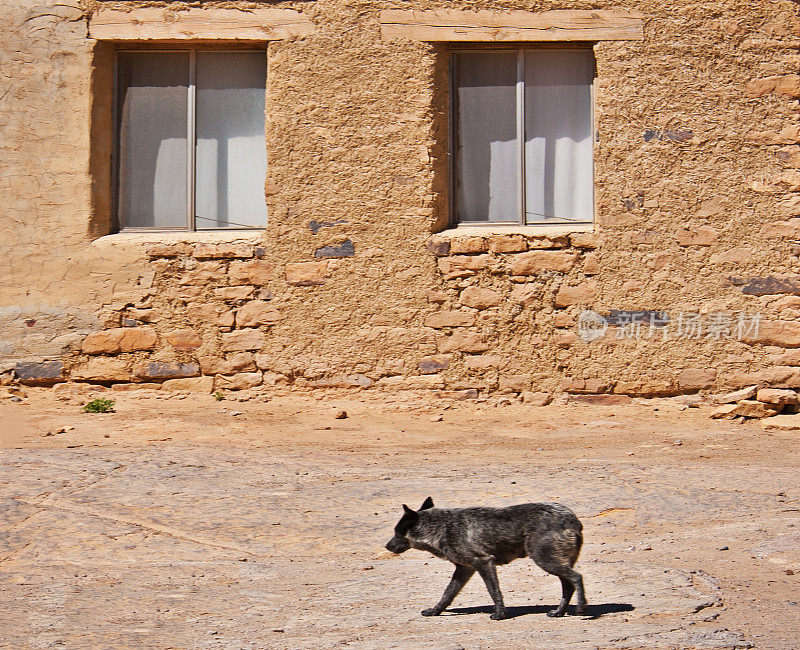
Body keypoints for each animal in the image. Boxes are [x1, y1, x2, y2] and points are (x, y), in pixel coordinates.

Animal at [384, 496, 584, 616]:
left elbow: (493, 590)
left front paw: (499, 614)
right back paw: (558, 612)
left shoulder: (484, 563)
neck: (441, 527)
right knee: (569, 585)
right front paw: (435, 611)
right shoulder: (465, 569)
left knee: (577, 577)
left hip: (545, 561)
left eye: (396, 532)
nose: (387, 546)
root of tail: (572, 519)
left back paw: (581, 607)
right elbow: (448, 593)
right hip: (553, 563)